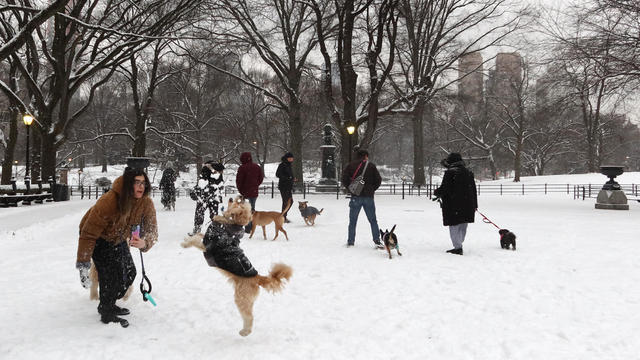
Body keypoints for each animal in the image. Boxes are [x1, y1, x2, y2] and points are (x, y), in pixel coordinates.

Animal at [179, 195, 292, 336]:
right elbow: (197, 235)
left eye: (240, 204)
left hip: (241, 298)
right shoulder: (205, 237)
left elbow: (194, 241)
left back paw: (245, 331)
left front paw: (184, 244)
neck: (226, 226)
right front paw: (186, 239)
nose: (240, 196)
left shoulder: (207, 247)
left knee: (249, 316)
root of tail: (258, 277)